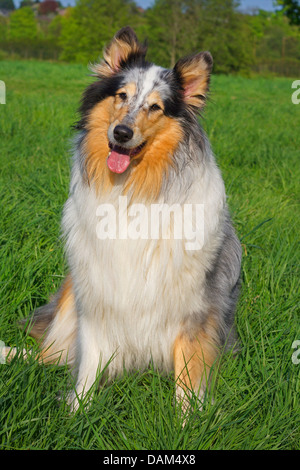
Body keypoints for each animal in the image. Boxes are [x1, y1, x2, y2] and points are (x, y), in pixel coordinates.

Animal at [5, 26, 243, 414]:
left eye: (156, 107)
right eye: (121, 96)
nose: (121, 133)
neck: (134, 189)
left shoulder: (197, 305)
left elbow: (189, 374)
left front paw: (189, 420)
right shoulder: (97, 292)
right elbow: (88, 362)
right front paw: (77, 412)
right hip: (71, 291)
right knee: (48, 355)